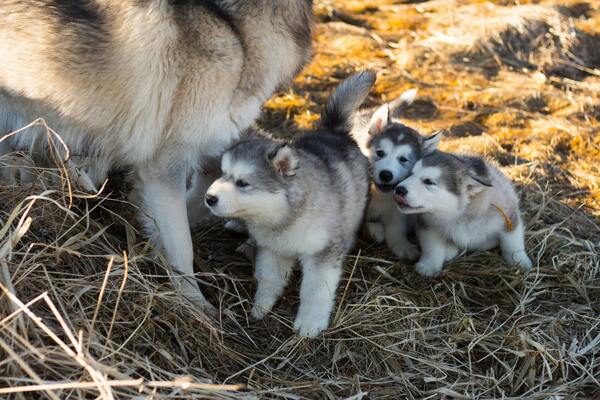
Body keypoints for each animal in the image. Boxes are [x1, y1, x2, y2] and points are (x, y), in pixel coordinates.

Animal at [207, 72, 376, 338]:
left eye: (243, 183)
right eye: (223, 173)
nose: (209, 198)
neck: (284, 217)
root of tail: (334, 131)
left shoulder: (321, 254)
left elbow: (315, 291)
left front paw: (310, 324)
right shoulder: (273, 249)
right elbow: (269, 279)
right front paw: (261, 307)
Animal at [396, 151, 532, 278]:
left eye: (429, 182)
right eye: (411, 174)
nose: (398, 189)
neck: (458, 216)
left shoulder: (508, 216)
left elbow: (512, 242)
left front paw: (519, 260)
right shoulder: (427, 225)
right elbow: (432, 248)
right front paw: (429, 265)